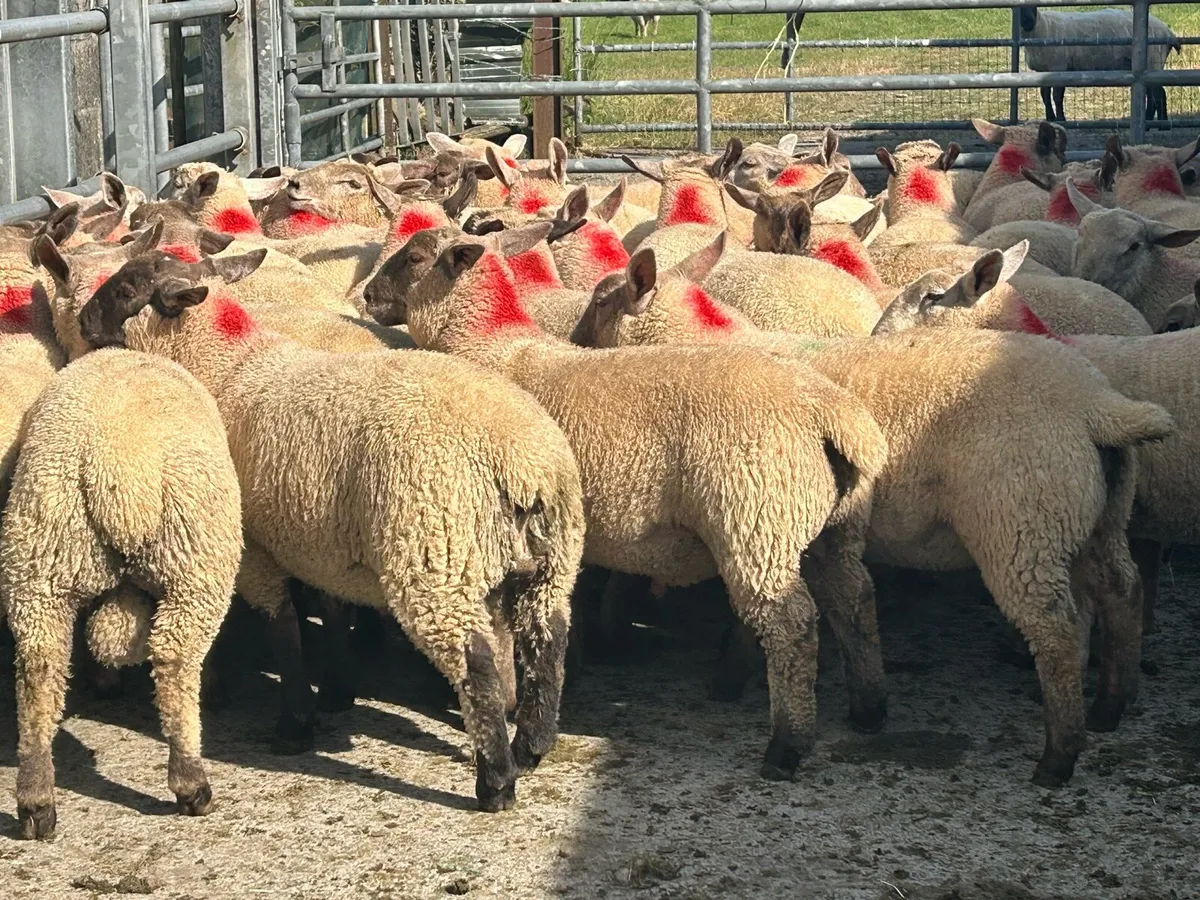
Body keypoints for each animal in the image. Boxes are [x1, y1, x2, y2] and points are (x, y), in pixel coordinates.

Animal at [0, 347, 243, 840]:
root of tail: (120, 471)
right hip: (196, 564)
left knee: (39, 671)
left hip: (40, 560)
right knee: (175, 661)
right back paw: (192, 783)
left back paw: (35, 801)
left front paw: (105, 681)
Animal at [72, 248, 586, 812]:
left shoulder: (258, 549)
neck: (228, 366)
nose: (83, 322)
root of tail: (523, 461)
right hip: (550, 556)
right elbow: (334, 612)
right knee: (549, 638)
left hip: (433, 556)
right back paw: (532, 747)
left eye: (126, 290)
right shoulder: (321, 539)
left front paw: (295, 724)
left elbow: (284, 631)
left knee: (475, 662)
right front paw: (339, 691)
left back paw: (496, 781)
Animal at [362, 223, 892, 781]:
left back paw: (787, 747)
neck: (489, 345)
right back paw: (868, 708)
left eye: (414, 257)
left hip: (757, 522)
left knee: (793, 626)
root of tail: (830, 416)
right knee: (854, 596)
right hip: (833, 525)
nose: (368, 297)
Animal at [572, 239, 1173, 785]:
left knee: (1056, 625)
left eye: (601, 301)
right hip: (1097, 519)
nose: (573, 341)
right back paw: (1111, 706)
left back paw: (1058, 757)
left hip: (1021, 522)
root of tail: (1098, 407)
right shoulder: (774, 519)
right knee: (1123, 589)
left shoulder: (753, 510)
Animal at [1018, 7, 1181, 122]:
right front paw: (1050, 118)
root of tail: (1168, 32)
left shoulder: (1058, 66)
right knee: (1154, 93)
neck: (1043, 26)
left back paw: (1157, 123)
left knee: (1157, 93)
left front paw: (1061, 119)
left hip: (1153, 60)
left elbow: (1057, 96)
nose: (1027, 22)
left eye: (1035, 5)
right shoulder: (1042, 70)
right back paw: (1154, 121)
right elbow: (1044, 95)